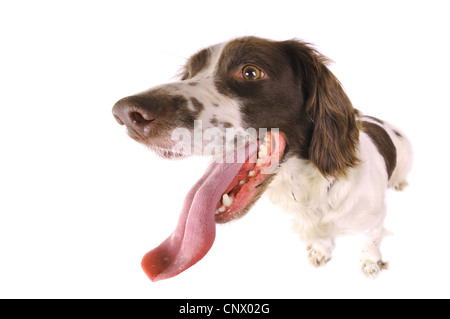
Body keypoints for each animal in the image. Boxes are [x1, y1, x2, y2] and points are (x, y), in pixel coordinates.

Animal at [111, 35, 412, 280]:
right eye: (188, 74)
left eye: (250, 72)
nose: (126, 114)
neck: (311, 189)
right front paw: (320, 250)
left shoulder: (375, 219)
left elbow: (371, 241)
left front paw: (371, 263)